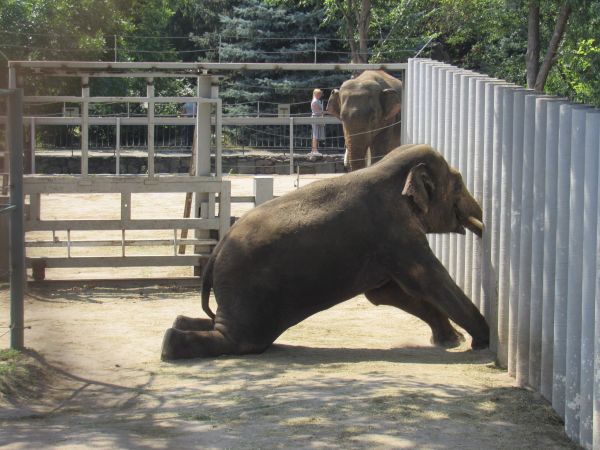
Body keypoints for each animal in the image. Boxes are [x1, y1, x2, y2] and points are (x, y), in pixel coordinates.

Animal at [162, 143, 490, 358]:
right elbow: (428, 281)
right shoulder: (396, 233)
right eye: (458, 185)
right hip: (247, 293)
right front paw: (480, 341)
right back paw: (170, 343)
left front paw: (452, 341)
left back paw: (179, 322)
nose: (481, 225)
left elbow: (388, 293)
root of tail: (216, 252)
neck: (389, 169)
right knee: (239, 341)